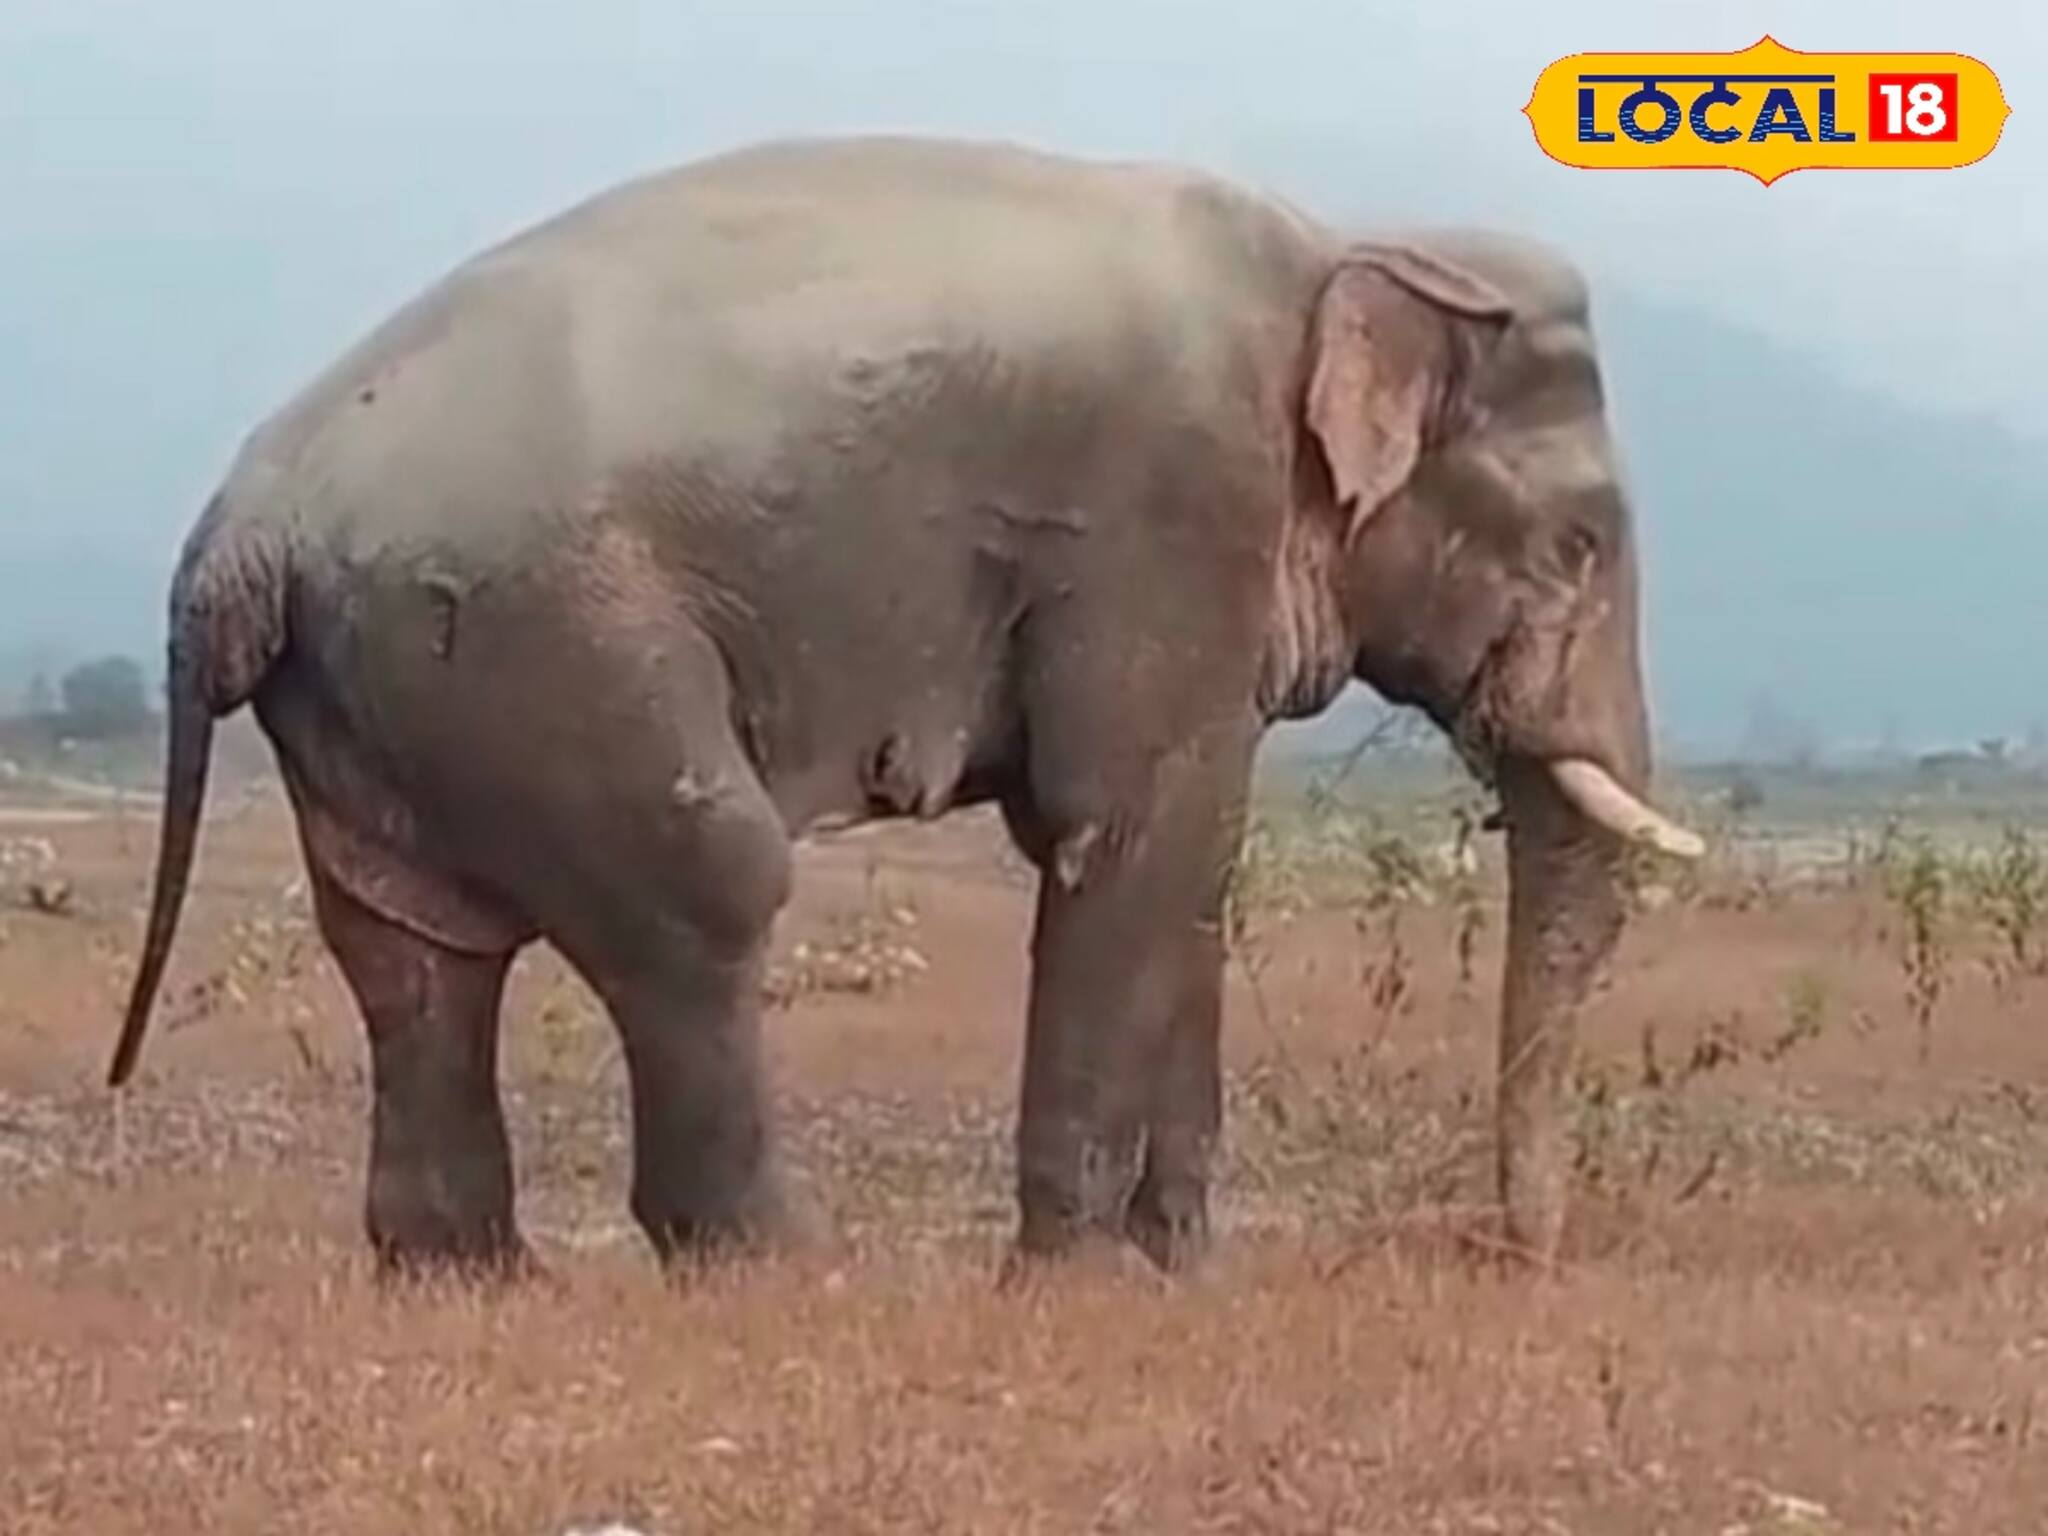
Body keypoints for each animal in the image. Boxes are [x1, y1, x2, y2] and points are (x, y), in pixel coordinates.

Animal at [107, 135, 1702, 1275]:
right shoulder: (1168, 520)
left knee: (414, 951)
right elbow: (1131, 837)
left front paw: (1186, 1271)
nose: (1510, 1251)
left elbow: (1192, 869)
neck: (1340, 252)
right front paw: (1080, 1282)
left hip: (385, 686)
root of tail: (237, 529)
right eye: (1576, 545)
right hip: (535, 641)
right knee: (707, 887)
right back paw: (783, 1264)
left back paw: (474, 1274)